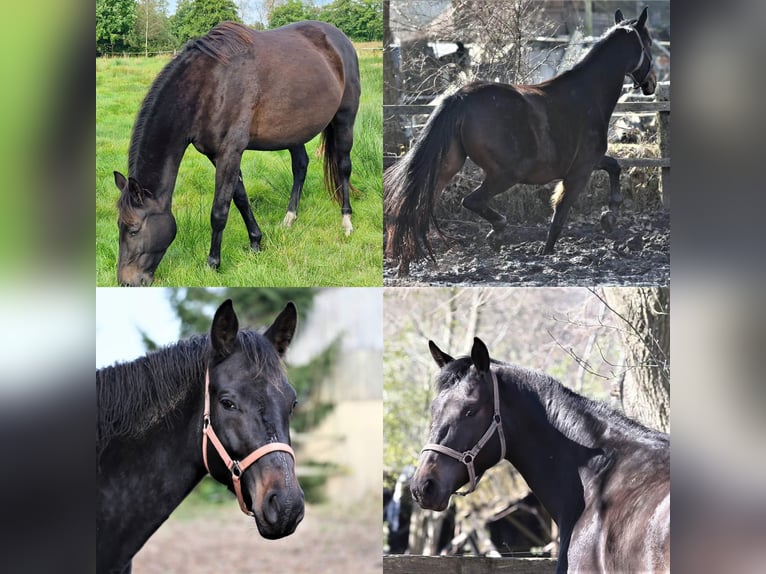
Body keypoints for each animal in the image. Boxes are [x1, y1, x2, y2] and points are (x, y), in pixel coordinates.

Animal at [113, 20, 361, 286]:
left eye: (134, 229)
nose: (126, 281)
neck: (209, 85)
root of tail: (340, 39)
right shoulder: (217, 155)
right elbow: (240, 198)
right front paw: (256, 243)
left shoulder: (230, 152)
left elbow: (219, 211)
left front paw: (213, 264)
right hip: (295, 132)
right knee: (300, 166)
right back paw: (289, 218)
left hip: (344, 119)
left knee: (344, 166)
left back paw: (346, 222)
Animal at [384, 8, 657, 275]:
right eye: (649, 43)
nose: (652, 84)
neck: (587, 95)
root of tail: (461, 98)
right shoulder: (580, 170)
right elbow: (560, 213)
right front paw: (548, 251)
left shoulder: (590, 162)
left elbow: (614, 166)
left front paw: (609, 216)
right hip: (505, 174)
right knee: (471, 201)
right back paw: (496, 233)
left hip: (447, 167)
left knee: (420, 206)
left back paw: (410, 259)